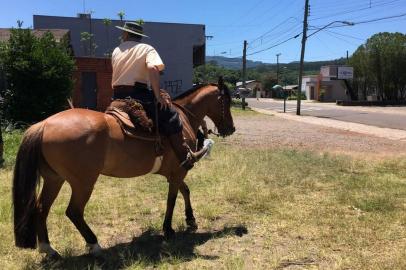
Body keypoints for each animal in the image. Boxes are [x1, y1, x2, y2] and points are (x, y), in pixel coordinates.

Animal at [11, 82, 235, 258]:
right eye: (227, 101)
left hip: (54, 179)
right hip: (83, 182)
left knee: (41, 208)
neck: (183, 118)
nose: (231, 128)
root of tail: (43, 124)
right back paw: (95, 245)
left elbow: (185, 191)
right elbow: (172, 199)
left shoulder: (174, 173)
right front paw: (169, 229)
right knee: (74, 211)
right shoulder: (179, 171)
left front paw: (190, 220)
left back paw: (48, 249)